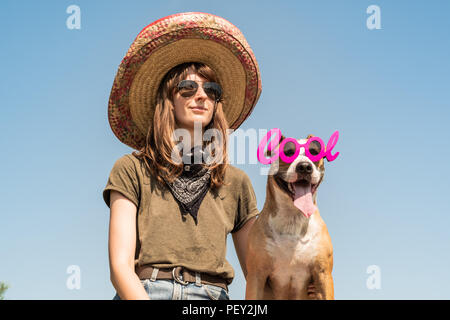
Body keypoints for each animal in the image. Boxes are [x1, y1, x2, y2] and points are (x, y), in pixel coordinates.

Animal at [246, 134, 334, 298]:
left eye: (314, 152)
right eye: (288, 152)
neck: (293, 218)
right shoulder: (256, 276)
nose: (304, 166)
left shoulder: (323, 274)